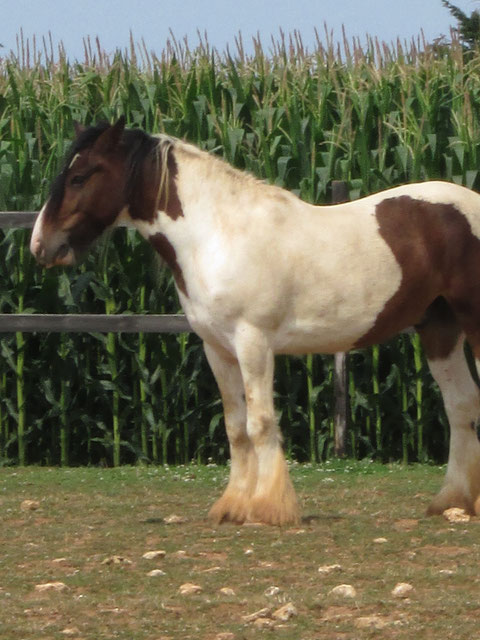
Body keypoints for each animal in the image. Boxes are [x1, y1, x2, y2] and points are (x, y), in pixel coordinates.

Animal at [29, 116, 480, 524]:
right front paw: (233, 507)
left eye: (80, 177)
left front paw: (268, 508)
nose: (40, 246)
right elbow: (236, 427)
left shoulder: (254, 343)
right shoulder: (218, 349)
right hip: (440, 331)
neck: (216, 235)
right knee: (461, 405)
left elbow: (261, 423)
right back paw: (453, 502)